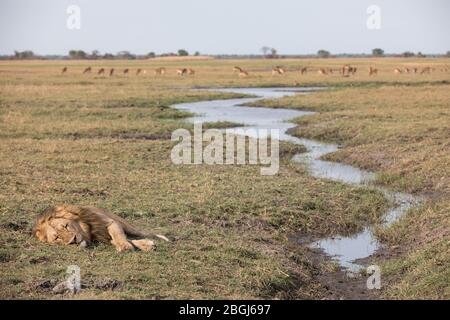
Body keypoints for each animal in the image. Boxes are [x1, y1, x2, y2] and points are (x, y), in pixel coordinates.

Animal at [32, 205, 169, 252]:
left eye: (66, 226)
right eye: (57, 238)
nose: (73, 240)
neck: (87, 231)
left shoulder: (110, 223)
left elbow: (120, 236)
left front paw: (124, 247)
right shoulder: (102, 237)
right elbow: (121, 239)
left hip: (126, 225)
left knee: (143, 233)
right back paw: (147, 245)